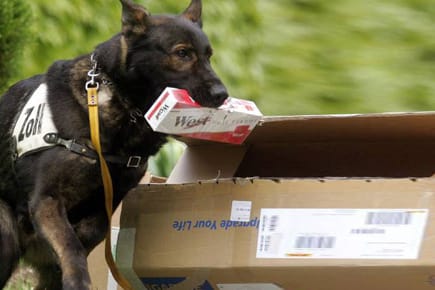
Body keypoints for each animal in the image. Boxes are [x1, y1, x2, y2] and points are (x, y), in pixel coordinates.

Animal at [0, 0, 230, 288]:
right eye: (183, 53)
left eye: (209, 56)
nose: (222, 95)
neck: (124, 105)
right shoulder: (46, 200)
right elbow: (71, 244)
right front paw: (78, 279)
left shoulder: (104, 208)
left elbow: (83, 238)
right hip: (5, 235)